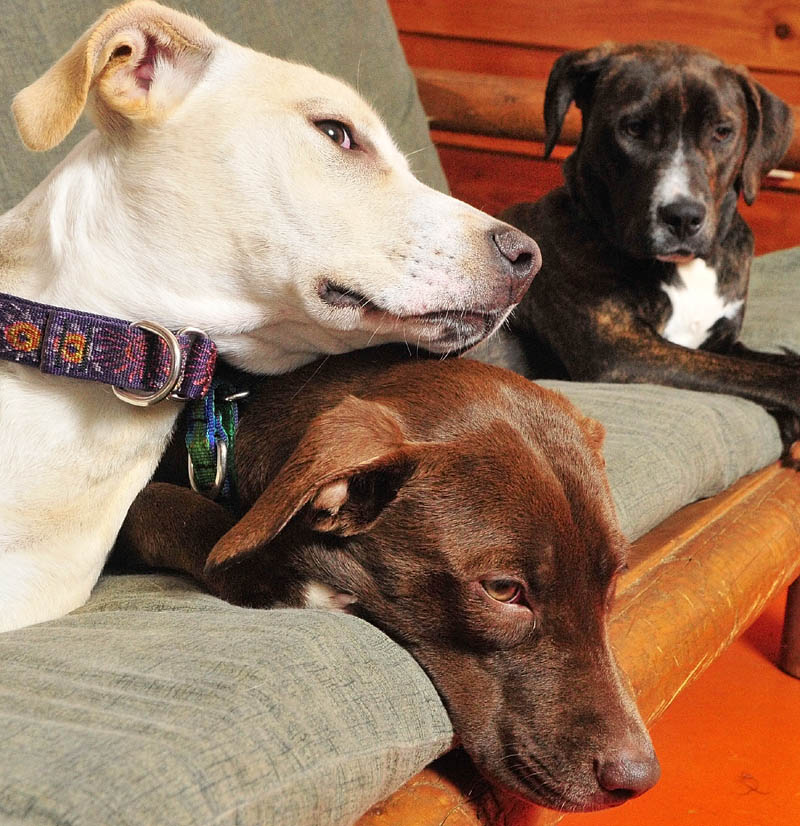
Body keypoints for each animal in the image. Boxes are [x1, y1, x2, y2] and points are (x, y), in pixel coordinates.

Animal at [504, 41, 796, 444]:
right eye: (634, 129)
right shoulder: (622, 352)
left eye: (722, 132)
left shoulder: (722, 343)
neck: (684, 269)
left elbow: (762, 363)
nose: (683, 217)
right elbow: (759, 373)